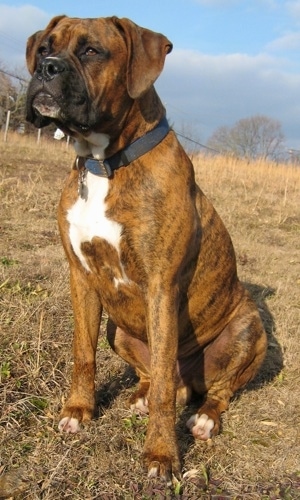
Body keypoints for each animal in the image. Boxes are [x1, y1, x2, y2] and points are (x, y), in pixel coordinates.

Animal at [25, 15, 268, 480]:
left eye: (91, 51)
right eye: (45, 47)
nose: (46, 68)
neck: (104, 162)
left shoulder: (161, 286)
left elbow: (164, 394)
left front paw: (160, 455)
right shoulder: (81, 277)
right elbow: (83, 354)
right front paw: (78, 411)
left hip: (248, 329)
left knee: (211, 389)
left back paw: (204, 417)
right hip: (117, 328)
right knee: (153, 376)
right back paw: (139, 395)